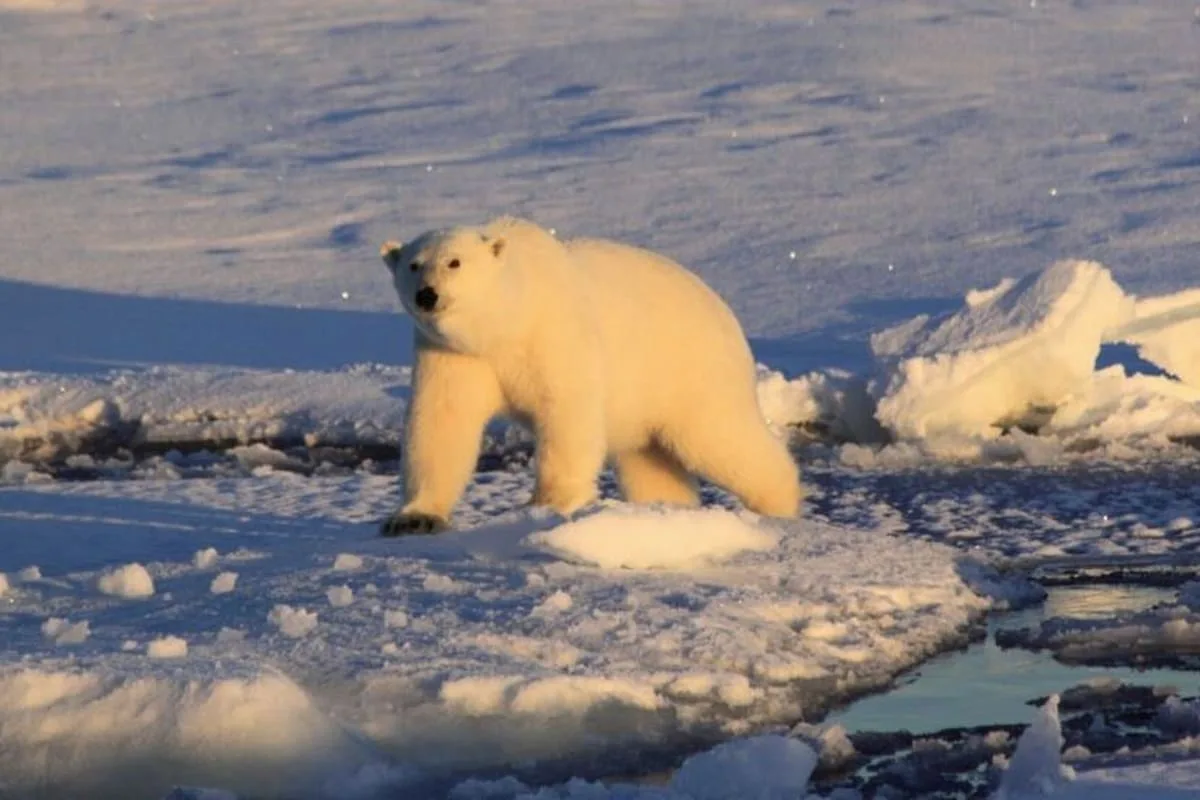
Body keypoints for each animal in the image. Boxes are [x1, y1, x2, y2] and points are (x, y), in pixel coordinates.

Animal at [378, 216, 802, 535]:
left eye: (454, 262)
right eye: (413, 265)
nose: (427, 294)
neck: (505, 323)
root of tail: (725, 311)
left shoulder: (553, 332)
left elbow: (566, 409)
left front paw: (548, 502)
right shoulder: (452, 353)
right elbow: (442, 421)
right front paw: (414, 518)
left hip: (690, 368)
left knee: (719, 437)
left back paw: (779, 503)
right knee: (650, 461)